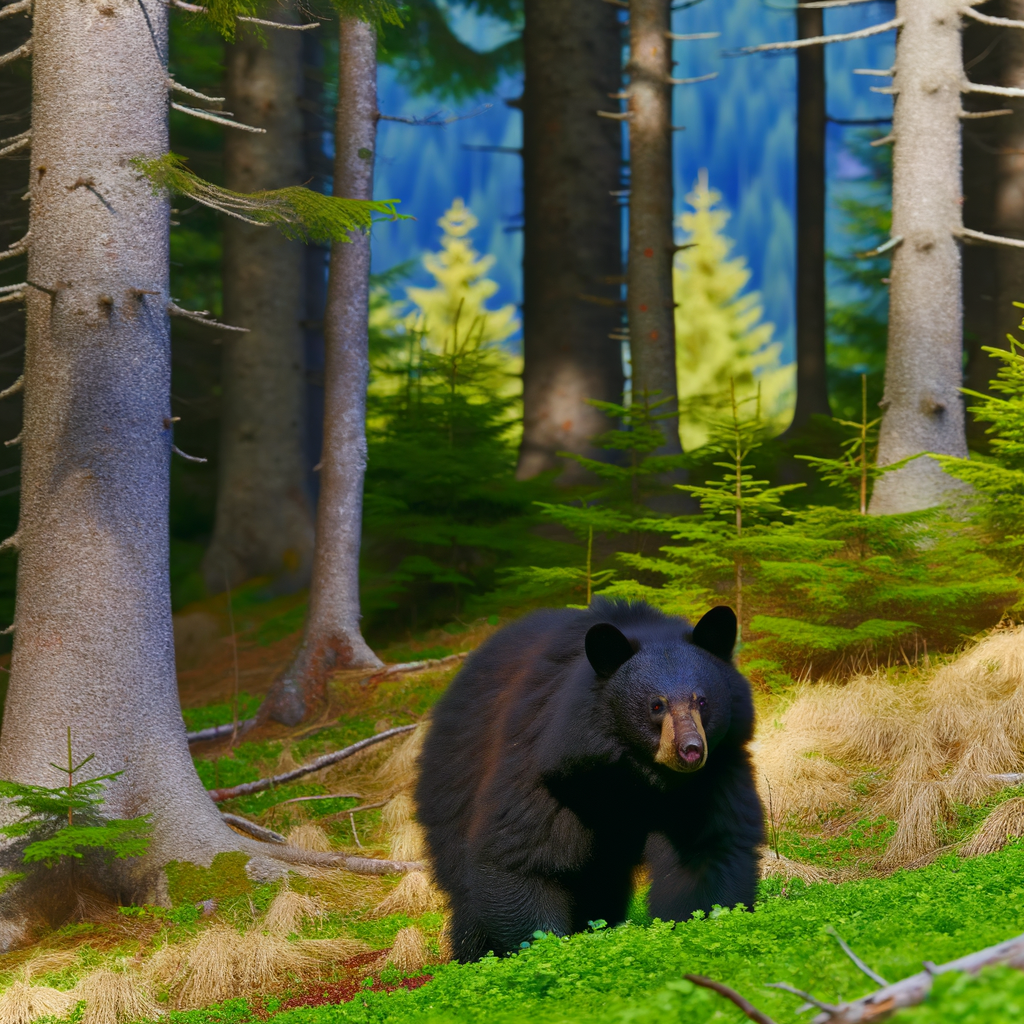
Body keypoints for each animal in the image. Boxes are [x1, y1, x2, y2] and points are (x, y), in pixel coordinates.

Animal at [414, 598, 764, 963]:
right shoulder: (550, 769)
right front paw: (546, 948)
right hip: (453, 785)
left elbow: (708, 850)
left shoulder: (711, 780)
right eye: (656, 705)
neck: (633, 774)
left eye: (702, 700)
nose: (691, 750)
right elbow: (521, 856)